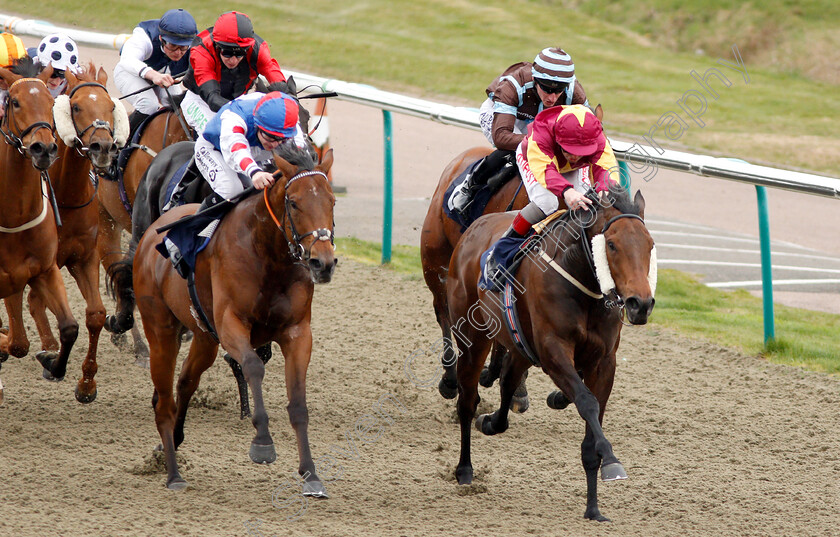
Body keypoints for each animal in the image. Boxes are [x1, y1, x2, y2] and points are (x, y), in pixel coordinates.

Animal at [24, 63, 129, 402]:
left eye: (110, 107)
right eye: (77, 106)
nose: (103, 147)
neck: (67, 195)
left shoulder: (83, 258)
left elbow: (95, 315)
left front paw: (86, 383)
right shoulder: (44, 263)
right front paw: (52, 358)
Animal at [131, 142, 334, 490]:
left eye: (332, 201)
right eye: (294, 203)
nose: (324, 263)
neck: (268, 255)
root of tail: (149, 236)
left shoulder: (297, 332)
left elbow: (298, 402)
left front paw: (310, 473)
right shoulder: (231, 325)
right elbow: (252, 366)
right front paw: (263, 443)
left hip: (203, 337)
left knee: (185, 381)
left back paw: (175, 440)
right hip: (161, 330)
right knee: (164, 401)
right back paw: (173, 473)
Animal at [446, 186, 656, 520]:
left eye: (649, 245)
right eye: (611, 244)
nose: (641, 304)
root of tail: (474, 229)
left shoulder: (604, 362)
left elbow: (593, 419)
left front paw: (593, 507)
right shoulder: (554, 351)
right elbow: (586, 401)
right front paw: (612, 461)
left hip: (519, 344)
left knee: (507, 385)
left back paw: (491, 422)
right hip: (471, 336)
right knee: (467, 401)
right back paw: (465, 469)